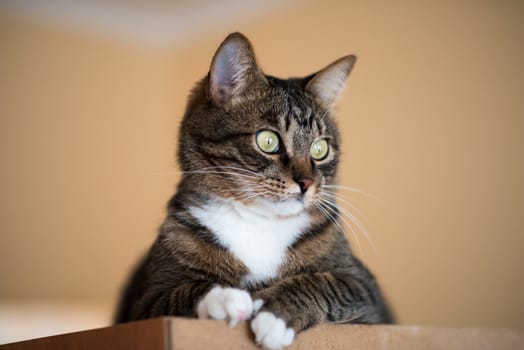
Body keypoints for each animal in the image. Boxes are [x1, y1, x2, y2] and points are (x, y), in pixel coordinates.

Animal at [114, 32, 392, 348]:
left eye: (320, 149)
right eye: (268, 141)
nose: (306, 183)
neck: (259, 222)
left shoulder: (367, 292)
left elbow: (328, 283)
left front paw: (276, 313)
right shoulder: (145, 302)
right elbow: (178, 294)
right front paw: (224, 297)